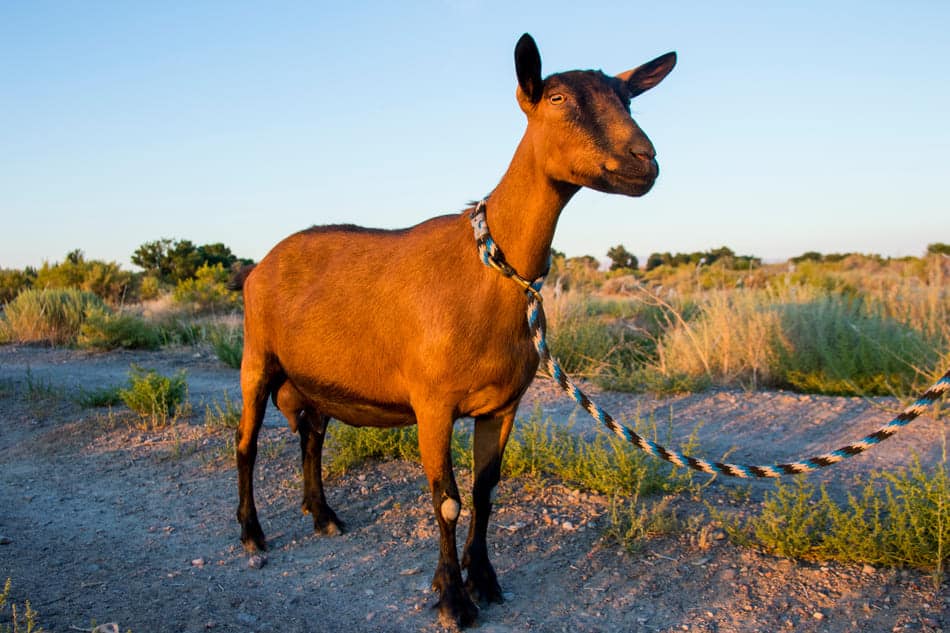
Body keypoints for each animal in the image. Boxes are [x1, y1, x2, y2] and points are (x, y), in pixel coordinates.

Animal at [231, 32, 676, 624]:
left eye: (628, 99)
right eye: (557, 98)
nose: (643, 160)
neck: (487, 270)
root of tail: (259, 266)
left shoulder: (503, 404)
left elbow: (485, 491)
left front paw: (483, 577)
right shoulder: (433, 403)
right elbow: (447, 500)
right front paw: (452, 599)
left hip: (315, 377)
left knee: (312, 435)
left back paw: (323, 515)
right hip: (257, 358)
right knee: (246, 443)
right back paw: (252, 532)